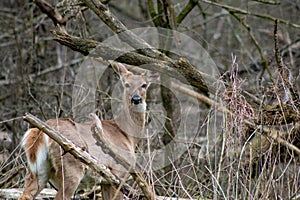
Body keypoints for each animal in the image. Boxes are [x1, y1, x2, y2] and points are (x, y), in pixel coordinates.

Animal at [18, 63, 155, 200]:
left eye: (144, 85)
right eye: (126, 84)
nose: (136, 99)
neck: (127, 135)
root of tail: (40, 132)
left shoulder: (106, 181)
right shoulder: (119, 172)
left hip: (37, 170)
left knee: (26, 194)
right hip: (71, 167)